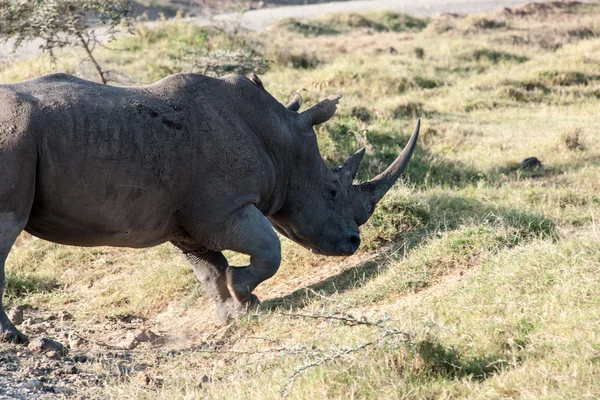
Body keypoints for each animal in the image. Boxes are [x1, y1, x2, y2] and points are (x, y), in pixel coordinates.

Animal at [0, 72, 420, 344]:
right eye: (332, 191)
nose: (353, 242)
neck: (279, 140)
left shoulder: (188, 223)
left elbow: (209, 269)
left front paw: (236, 312)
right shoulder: (222, 211)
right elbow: (270, 248)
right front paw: (243, 292)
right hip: (14, 139)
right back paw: (17, 339)